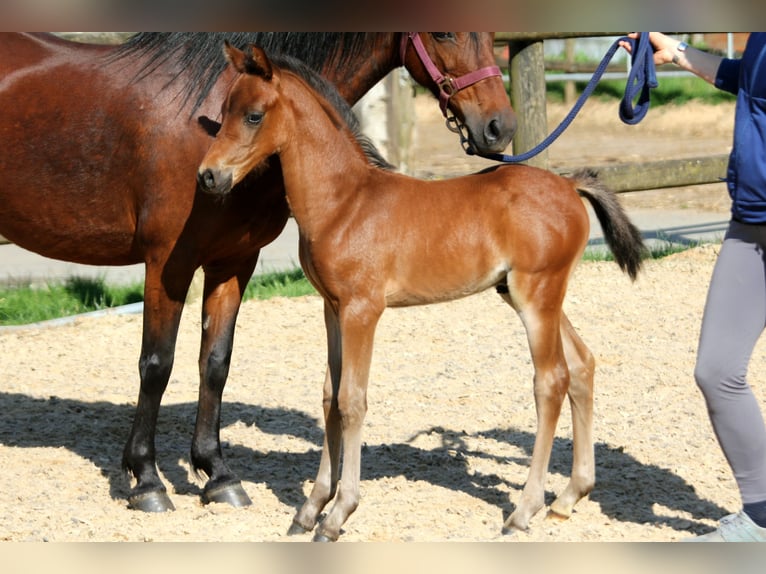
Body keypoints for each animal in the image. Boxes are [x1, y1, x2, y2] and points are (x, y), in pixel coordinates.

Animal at [0, 33, 520, 516]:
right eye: (443, 34)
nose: (499, 127)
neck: (204, 113)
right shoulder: (167, 262)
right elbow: (157, 363)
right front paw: (146, 480)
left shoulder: (234, 261)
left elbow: (215, 363)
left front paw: (217, 475)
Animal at [198, 42, 648, 544]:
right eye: (223, 112)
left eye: (254, 115)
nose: (208, 176)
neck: (345, 201)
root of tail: (570, 184)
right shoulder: (332, 308)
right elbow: (330, 397)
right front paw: (310, 509)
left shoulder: (363, 310)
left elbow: (352, 400)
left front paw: (338, 514)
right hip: (528, 295)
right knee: (583, 364)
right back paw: (568, 497)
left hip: (537, 295)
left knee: (551, 381)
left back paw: (523, 510)